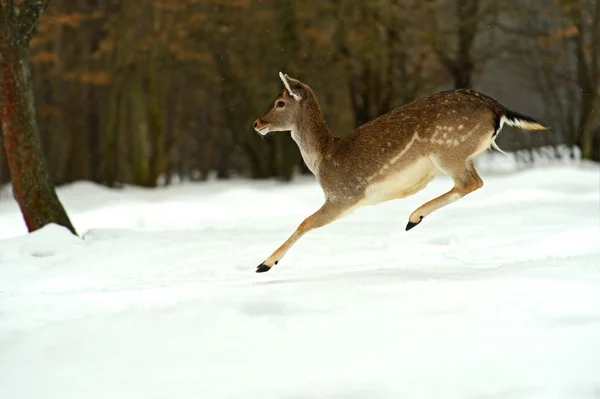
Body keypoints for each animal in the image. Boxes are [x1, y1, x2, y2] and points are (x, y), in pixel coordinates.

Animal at [251, 72, 548, 274]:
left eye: (279, 102)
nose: (256, 123)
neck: (324, 160)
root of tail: (497, 109)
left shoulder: (344, 195)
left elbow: (306, 222)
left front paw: (264, 264)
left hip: (448, 149)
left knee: (471, 182)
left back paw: (413, 217)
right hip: (462, 153)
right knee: (471, 182)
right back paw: (415, 217)